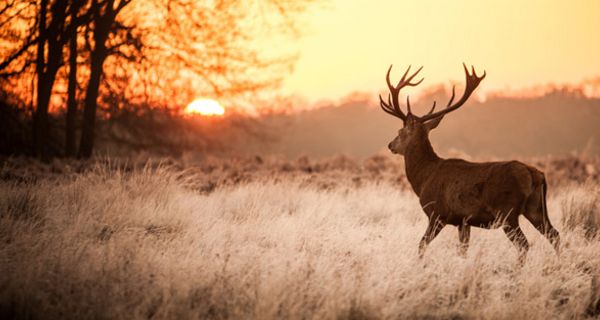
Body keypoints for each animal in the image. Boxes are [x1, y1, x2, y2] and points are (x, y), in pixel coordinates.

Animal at [382, 63, 560, 262]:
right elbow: (463, 250)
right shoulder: (463, 221)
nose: (390, 145)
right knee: (554, 234)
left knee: (524, 244)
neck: (424, 178)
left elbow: (421, 245)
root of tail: (534, 175)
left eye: (400, 132)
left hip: (507, 212)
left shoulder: (437, 213)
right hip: (536, 208)